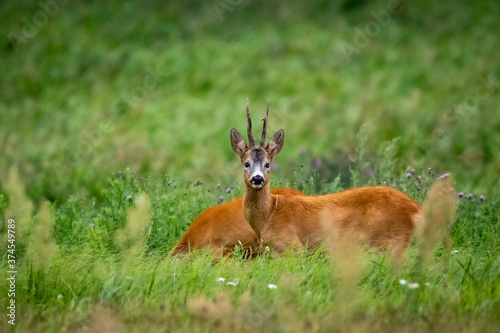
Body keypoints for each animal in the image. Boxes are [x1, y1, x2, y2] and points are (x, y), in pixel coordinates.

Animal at [230, 100, 422, 256]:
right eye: (246, 163)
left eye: (267, 164)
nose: (257, 179)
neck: (268, 215)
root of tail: (415, 208)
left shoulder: (292, 247)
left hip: (388, 240)